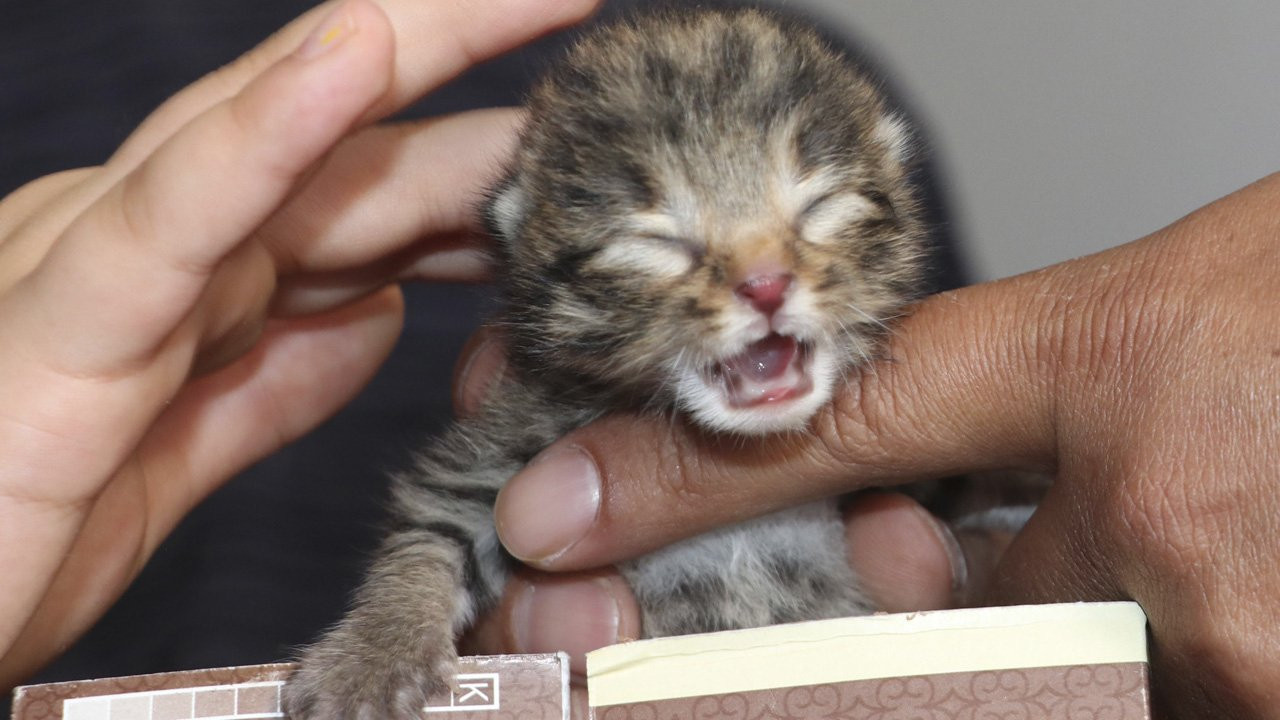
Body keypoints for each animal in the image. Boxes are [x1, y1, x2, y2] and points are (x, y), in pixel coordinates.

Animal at [288, 7, 931, 717]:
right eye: (656, 241)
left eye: (819, 206)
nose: (766, 285)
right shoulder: (513, 440)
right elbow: (436, 523)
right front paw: (374, 653)